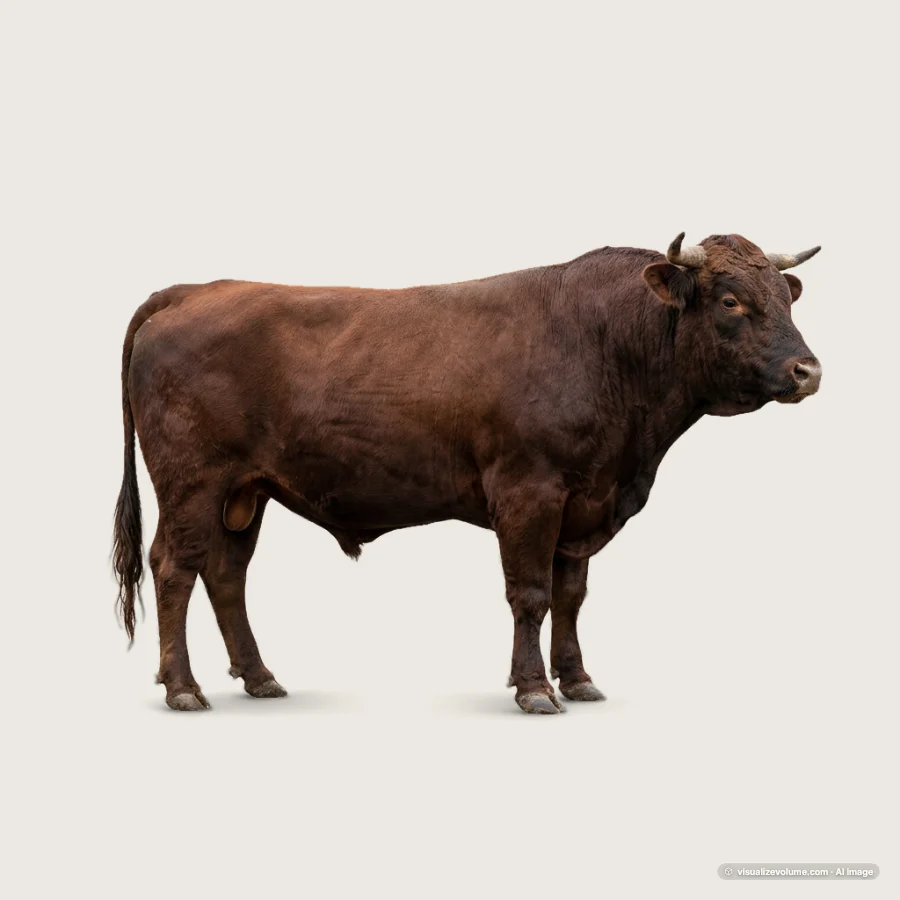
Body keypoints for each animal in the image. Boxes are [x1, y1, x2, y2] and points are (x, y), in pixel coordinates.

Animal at [113, 233, 822, 713]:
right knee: (175, 568)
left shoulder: (584, 503)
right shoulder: (530, 493)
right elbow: (530, 594)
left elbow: (570, 595)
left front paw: (577, 679)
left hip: (246, 492)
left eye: (786, 299)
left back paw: (259, 677)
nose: (807, 371)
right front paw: (535, 689)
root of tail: (196, 290)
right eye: (730, 300)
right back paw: (183, 688)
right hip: (191, 483)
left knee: (226, 575)